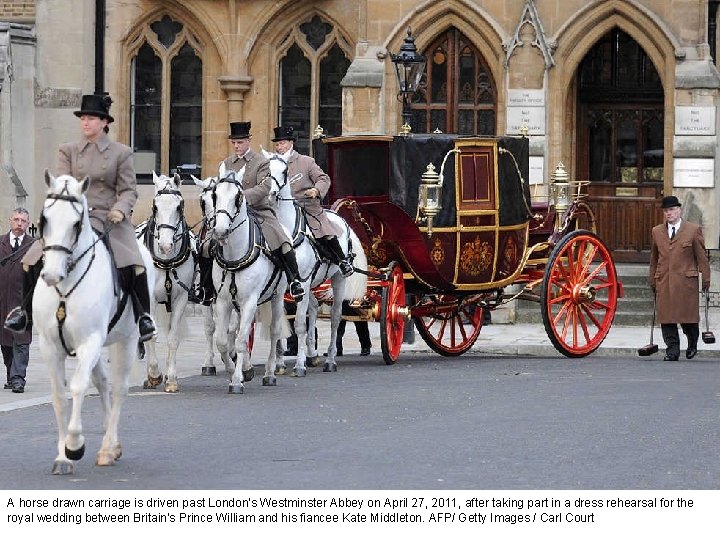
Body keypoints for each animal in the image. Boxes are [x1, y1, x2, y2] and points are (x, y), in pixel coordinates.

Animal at [34, 172, 155, 472]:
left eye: (76, 223)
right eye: (44, 219)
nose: (51, 275)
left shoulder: (89, 341)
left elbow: (78, 386)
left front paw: (74, 445)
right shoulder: (49, 346)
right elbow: (59, 395)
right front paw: (62, 456)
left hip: (127, 339)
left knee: (119, 389)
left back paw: (108, 448)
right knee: (103, 383)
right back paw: (112, 445)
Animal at [139, 173, 195, 392]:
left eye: (179, 206)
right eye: (155, 206)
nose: (165, 245)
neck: (166, 262)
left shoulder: (181, 298)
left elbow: (173, 338)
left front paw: (171, 379)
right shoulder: (150, 298)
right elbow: (151, 335)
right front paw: (154, 375)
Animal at [210, 165, 288, 392]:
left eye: (238, 197)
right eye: (214, 194)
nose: (220, 230)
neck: (234, 253)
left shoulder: (250, 301)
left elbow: (241, 340)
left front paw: (236, 380)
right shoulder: (224, 301)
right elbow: (222, 340)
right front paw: (233, 370)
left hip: (277, 296)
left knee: (274, 332)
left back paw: (270, 373)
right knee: (236, 331)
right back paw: (247, 367)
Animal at [262, 150, 368, 374]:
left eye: (284, 171)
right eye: (266, 169)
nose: (272, 194)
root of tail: (337, 216)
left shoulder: (301, 282)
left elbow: (300, 324)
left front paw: (299, 365)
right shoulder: (284, 286)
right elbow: (281, 324)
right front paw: (279, 363)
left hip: (337, 279)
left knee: (336, 317)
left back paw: (329, 359)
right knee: (312, 307)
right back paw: (312, 354)